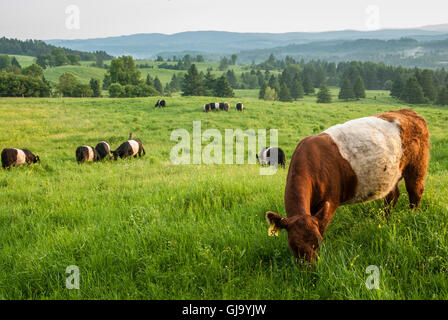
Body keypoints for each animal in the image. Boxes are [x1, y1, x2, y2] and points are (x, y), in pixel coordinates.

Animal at [266, 109, 430, 264]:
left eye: (318, 243)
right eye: (294, 246)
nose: (310, 268)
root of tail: (409, 112)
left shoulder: (331, 202)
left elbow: (322, 227)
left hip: (416, 167)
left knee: (415, 193)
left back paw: (411, 217)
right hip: (392, 175)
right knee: (392, 196)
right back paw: (385, 222)